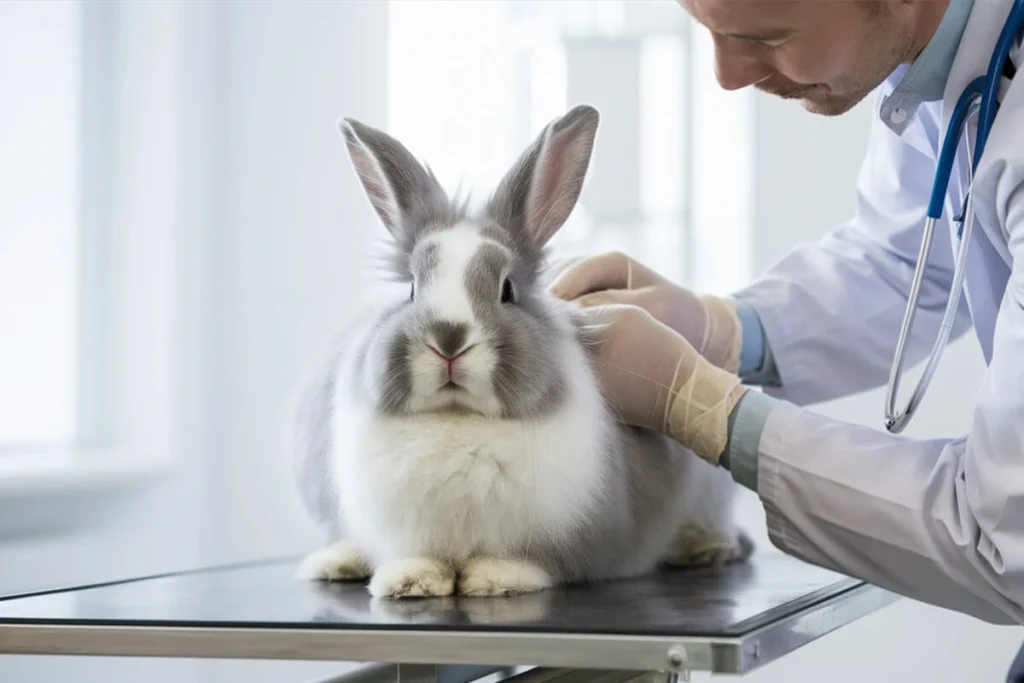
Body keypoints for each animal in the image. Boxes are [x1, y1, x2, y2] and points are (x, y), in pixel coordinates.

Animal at [288, 102, 753, 598]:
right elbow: (418, 556)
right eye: (412, 289)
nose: (449, 340)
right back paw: (338, 562)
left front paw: (496, 578)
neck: (458, 418)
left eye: (507, 289)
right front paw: (410, 581)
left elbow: (522, 558)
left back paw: (703, 549)